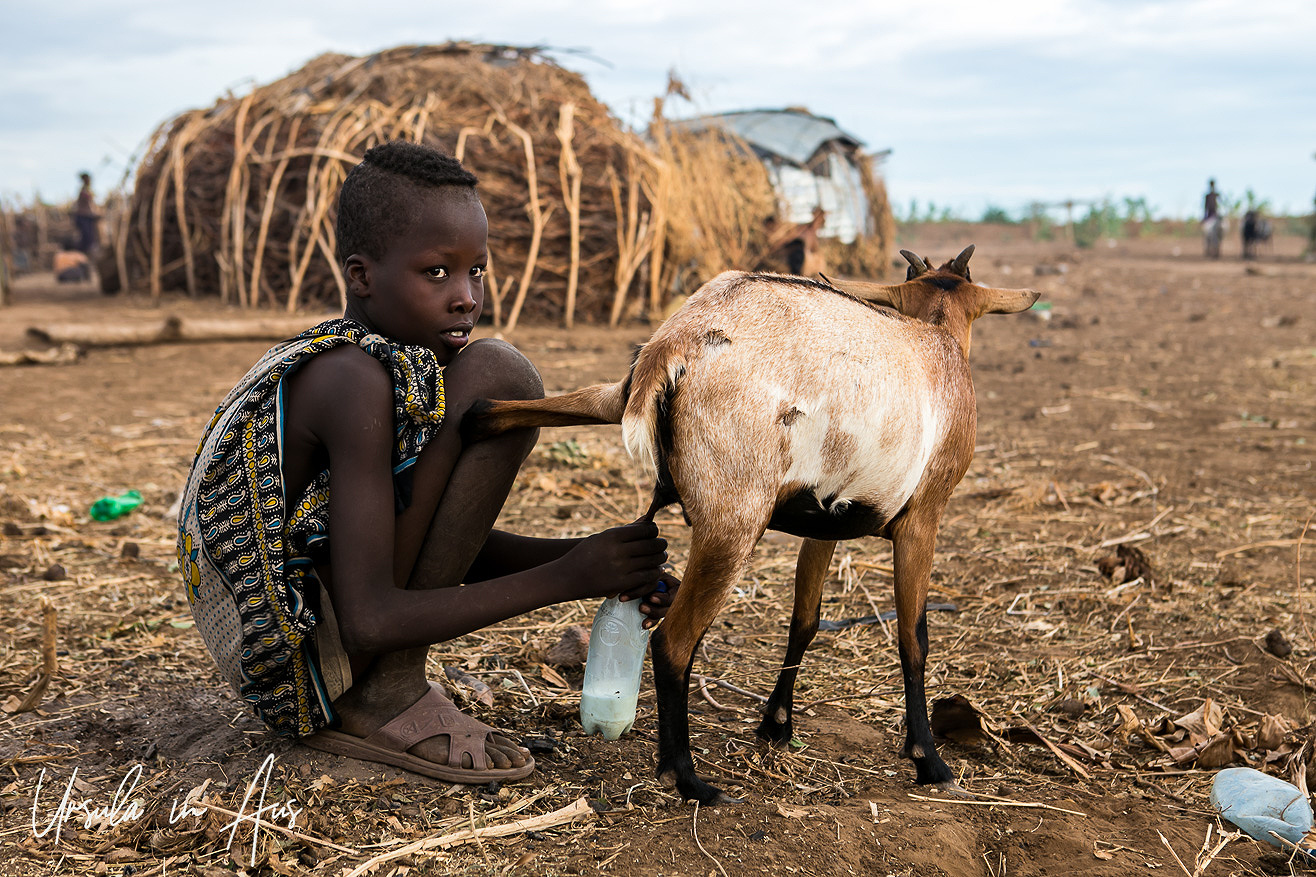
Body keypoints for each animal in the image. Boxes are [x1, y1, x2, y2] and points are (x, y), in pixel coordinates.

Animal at [463, 240, 1037, 800]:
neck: (936, 341)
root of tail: (677, 343)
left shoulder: (824, 521)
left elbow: (805, 620)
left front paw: (776, 725)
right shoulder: (924, 515)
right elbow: (913, 638)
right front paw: (929, 761)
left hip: (615, 399)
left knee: (516, 409)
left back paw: (471, 418)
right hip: (733, 523)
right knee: (673, 642)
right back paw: (687, 778)